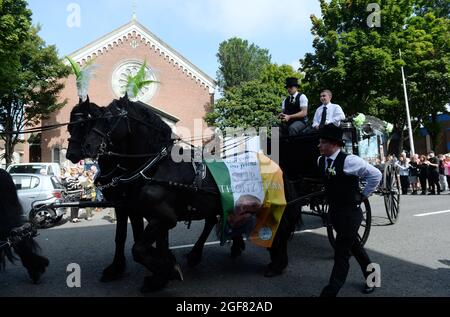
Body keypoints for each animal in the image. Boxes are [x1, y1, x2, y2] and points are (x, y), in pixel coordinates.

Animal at [66, 96, 296, 292]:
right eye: (71, 126)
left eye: (108, 119)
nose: (82, 149)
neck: (155, 166)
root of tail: (275, 163)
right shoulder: (142, 212)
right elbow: (142, 242)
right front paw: (160, 272)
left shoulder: (161, 217)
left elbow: (138, 248)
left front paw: (165, 272)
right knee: (219, 221)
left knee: (279, 229)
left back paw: (276, 263)